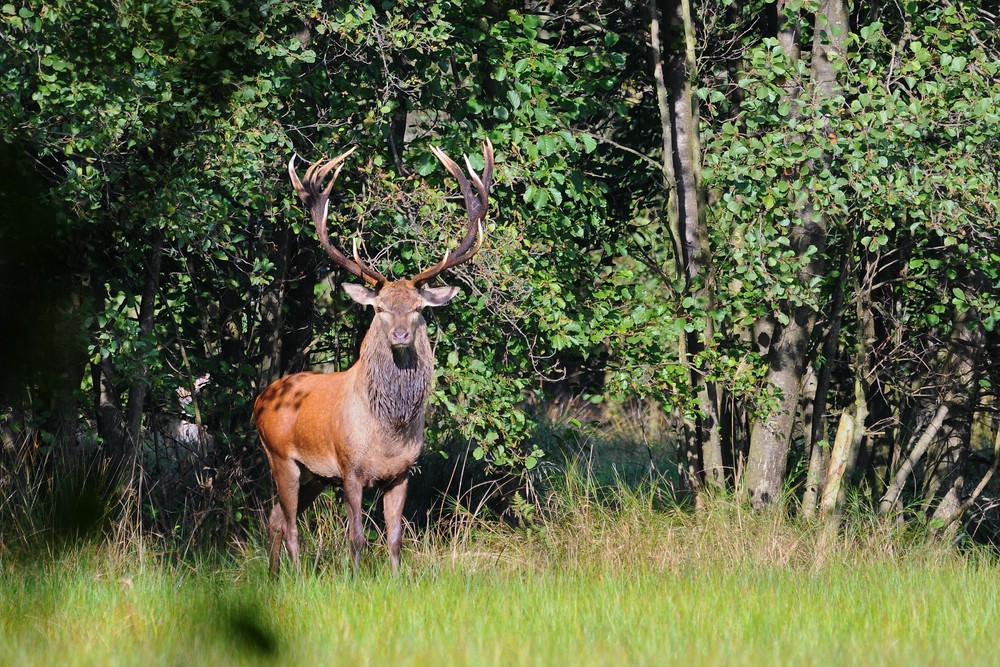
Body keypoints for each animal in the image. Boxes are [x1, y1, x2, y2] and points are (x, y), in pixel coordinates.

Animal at [254, 139, 493, 575]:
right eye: (379, 308)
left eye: (419, 308)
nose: (400, 334)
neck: (388, 432)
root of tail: (261, 399)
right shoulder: (349, 469)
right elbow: (357, 537)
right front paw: (354, 578)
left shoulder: (401, 474)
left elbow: (396, 537)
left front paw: (396, 581)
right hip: (281, 457)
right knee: (290, 523)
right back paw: (297, 575)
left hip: (312, 476)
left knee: (276, 516)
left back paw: (274, 574)